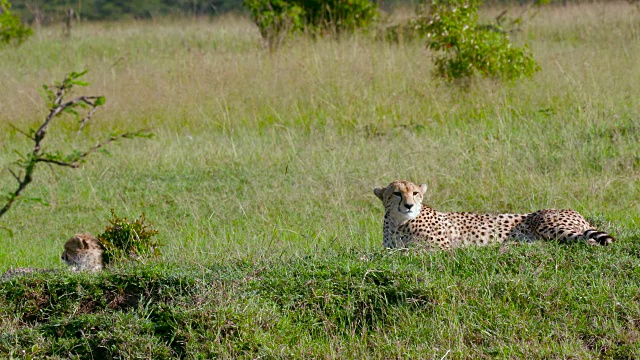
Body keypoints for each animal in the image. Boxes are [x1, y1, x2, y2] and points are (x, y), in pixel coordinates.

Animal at [376, 180, 616, 250]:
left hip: (548, 225)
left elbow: (406, 251)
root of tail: (574, 211)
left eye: (415, 193)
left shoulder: (440, 247)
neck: (400, 223)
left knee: (587, 241)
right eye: (397, 193)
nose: (408, 205)